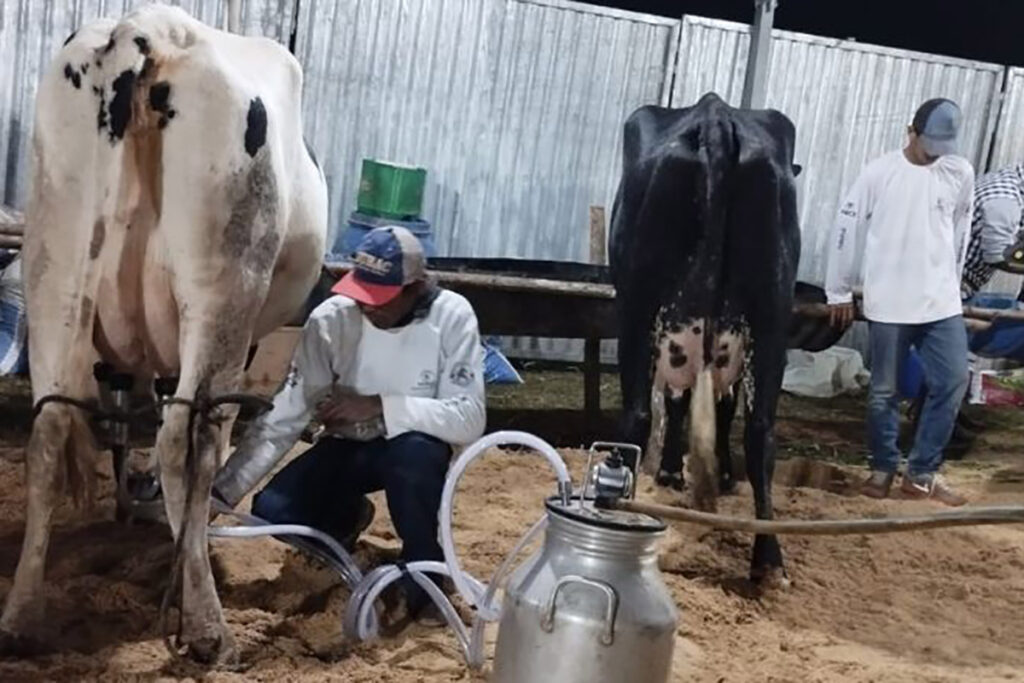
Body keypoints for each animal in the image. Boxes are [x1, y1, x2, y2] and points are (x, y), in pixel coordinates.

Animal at [606, 90, 823, 581]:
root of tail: (716, 116)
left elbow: (676, 401)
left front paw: (672, 472)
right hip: (771, 309)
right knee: (760, 432)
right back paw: (768, 562)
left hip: (637, 305)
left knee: (637, 416)